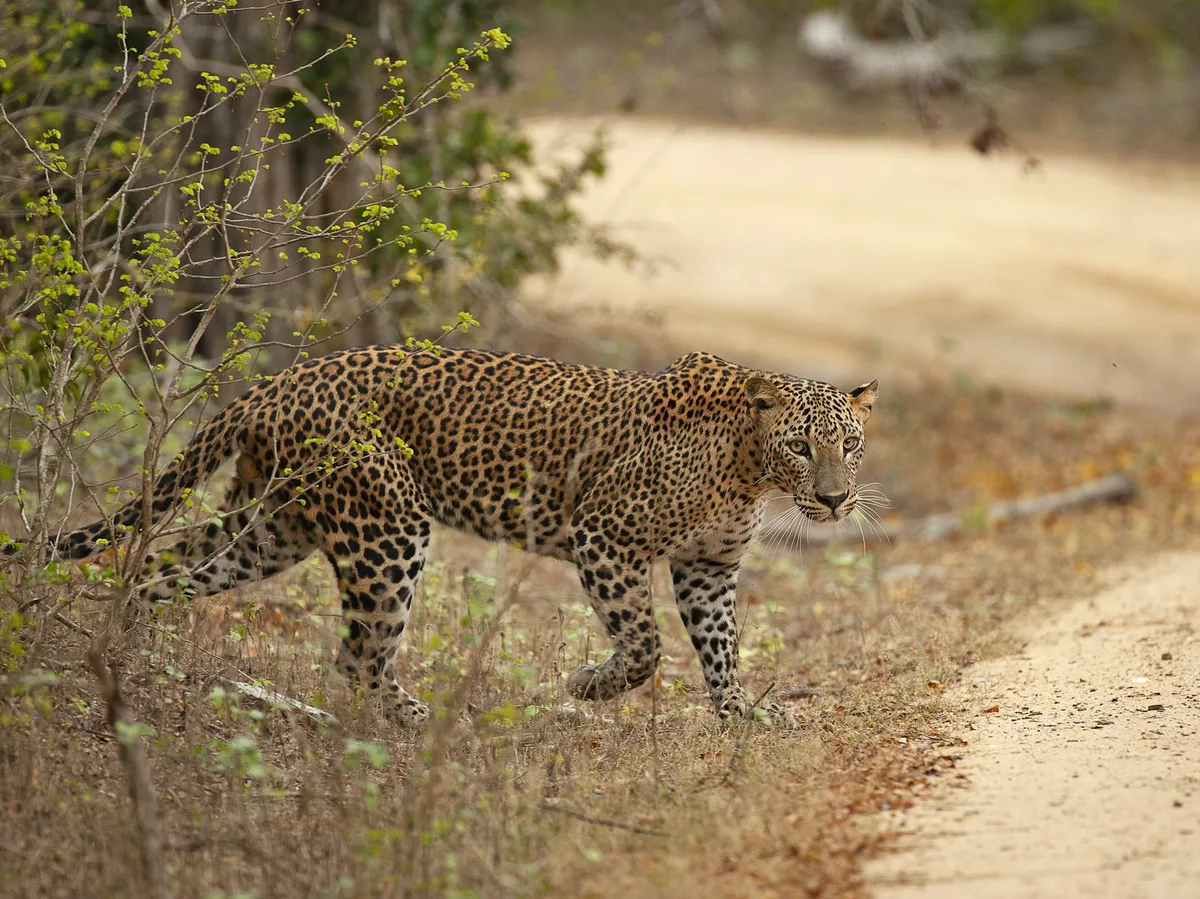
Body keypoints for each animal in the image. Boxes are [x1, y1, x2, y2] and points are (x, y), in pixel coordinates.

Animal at [16, 346, 878, 727]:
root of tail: (278, 381)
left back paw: (127, 660)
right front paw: (587, 686)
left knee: (157, 571)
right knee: (357, 654)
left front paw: (742, 716)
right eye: (802, 445)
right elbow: (644, 645)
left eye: (850, 443)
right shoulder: (605, 536)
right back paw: (422, 719)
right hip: (387, 526)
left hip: (272, 526)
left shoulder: (707, 566)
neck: (750, 468)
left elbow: (720, 645)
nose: (836, 500)